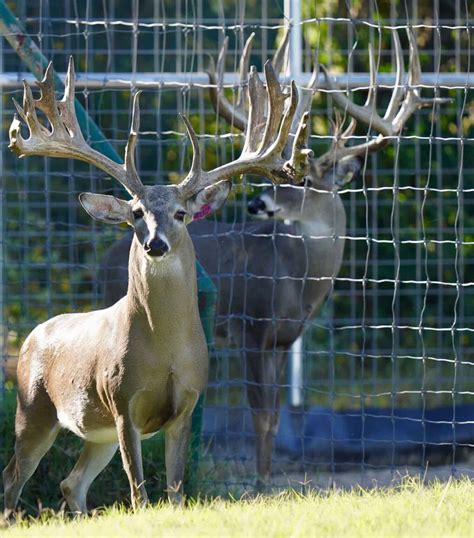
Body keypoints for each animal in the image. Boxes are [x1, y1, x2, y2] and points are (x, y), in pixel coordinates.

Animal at [2, 53, 312, 516]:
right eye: (135, 213)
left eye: (182, 213)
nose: (155, 243)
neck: (163, 350)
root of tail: (32, 335)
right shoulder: (121, 403)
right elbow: (138, 490)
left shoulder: (187, 403)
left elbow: (176, 489)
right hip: (33, 406)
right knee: (13, 477)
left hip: (94, 432)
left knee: (70, 482)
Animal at [100, 30, 448, 490]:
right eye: (276, 176)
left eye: (305, 181)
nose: (254, 204)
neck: (299, 280)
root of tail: (102, 261)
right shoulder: (252, 325)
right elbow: (260, 413)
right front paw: (261, 480)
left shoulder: (285, 338)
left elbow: (278, 413)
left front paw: (269, 475)